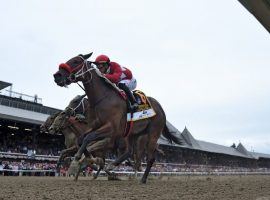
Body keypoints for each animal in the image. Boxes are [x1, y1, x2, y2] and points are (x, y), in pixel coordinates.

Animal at [53, 52, 181, 183]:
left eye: (76, 61)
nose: (57, 76)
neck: (104, 98)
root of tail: (161, 109)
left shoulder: (111, 129)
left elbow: (88, 138)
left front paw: (79, 159)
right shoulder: (96, 126)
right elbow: (82, 140)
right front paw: (89, 159)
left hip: (153, 134)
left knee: (149, 158)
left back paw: (142, 179)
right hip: (133, 134)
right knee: (129, 152)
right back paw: (113, 165)